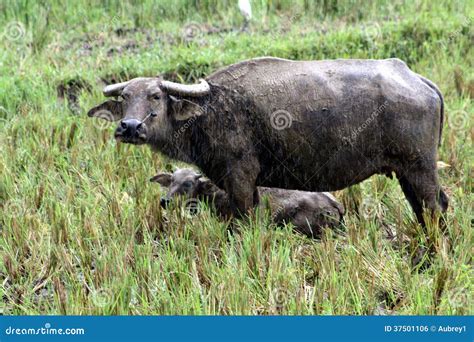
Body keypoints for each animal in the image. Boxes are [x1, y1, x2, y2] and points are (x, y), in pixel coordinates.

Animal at [88, 57, 448, 226]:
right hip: (406, 173)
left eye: (156, 96)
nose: (129, 127)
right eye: (124, 97)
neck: (210, 111)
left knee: (435, 208)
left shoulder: (240, 178)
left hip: (419, 168)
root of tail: (418, 80)